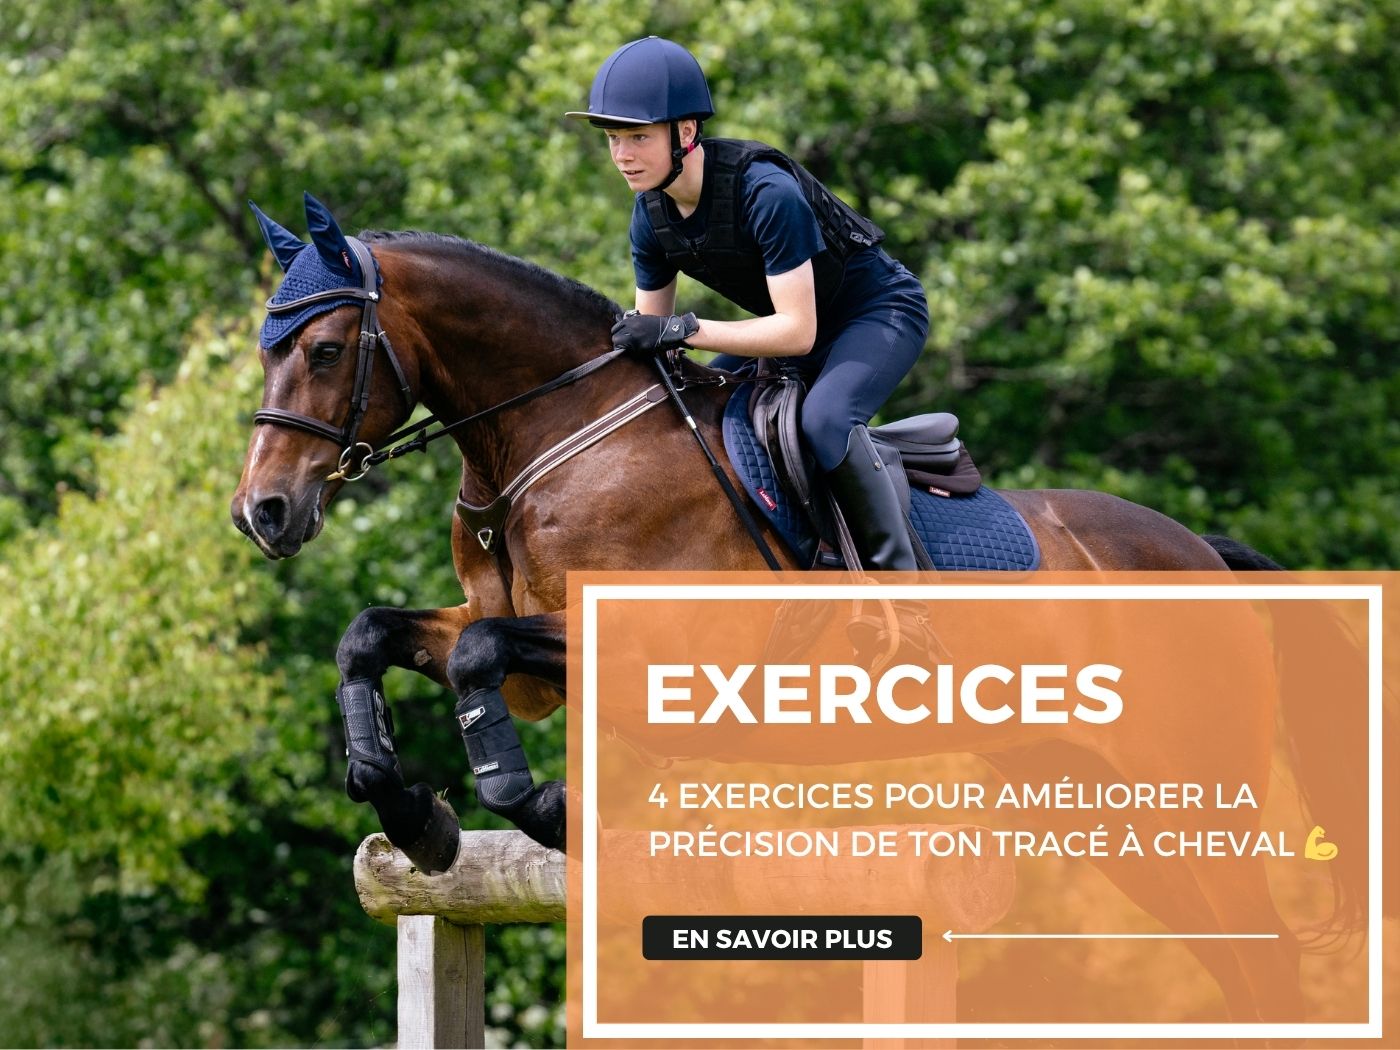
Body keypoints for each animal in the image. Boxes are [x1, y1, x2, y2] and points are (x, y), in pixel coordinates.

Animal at [230, 196, 1378, 1030]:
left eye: (324, 351)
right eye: (266, 349)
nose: (263, 511)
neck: (558, 437)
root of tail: (1201, 554)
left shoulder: (646, 648)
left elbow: (472, 654)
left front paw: (542, 808)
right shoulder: (535, 672)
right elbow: (377, 636)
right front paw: (411, 816)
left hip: (1193, 801)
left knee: (1268, 970)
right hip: (1105, 813)